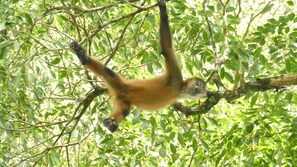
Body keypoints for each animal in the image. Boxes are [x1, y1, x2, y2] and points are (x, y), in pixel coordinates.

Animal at [69, 0, 209, 133]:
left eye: (203, 87)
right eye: (200, 84)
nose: (203, 89)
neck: (179, 89)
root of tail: (121, 92)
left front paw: (210, 93)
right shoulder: (174, 76)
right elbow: (167, 49)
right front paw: (163, 12)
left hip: (123, 100)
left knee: (124, 111)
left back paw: (109, 123)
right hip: (122, 86)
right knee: (108, 73)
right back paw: (83, 57)